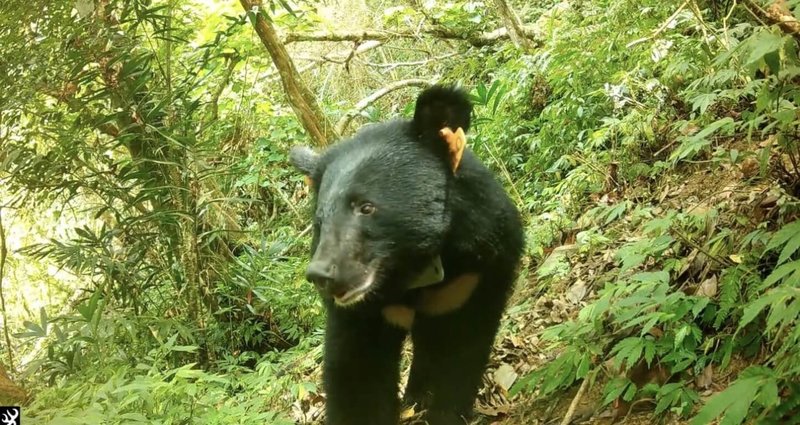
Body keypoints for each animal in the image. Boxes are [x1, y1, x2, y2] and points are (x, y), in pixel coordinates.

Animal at [290, 84, 524, 422]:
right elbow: (358, 371)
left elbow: (459, 348)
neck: (409, 267)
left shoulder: (469, 274)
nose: (322, 275)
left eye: (366, 207)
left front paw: (443, 412)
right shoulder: (363, 311)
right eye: (319, 221)